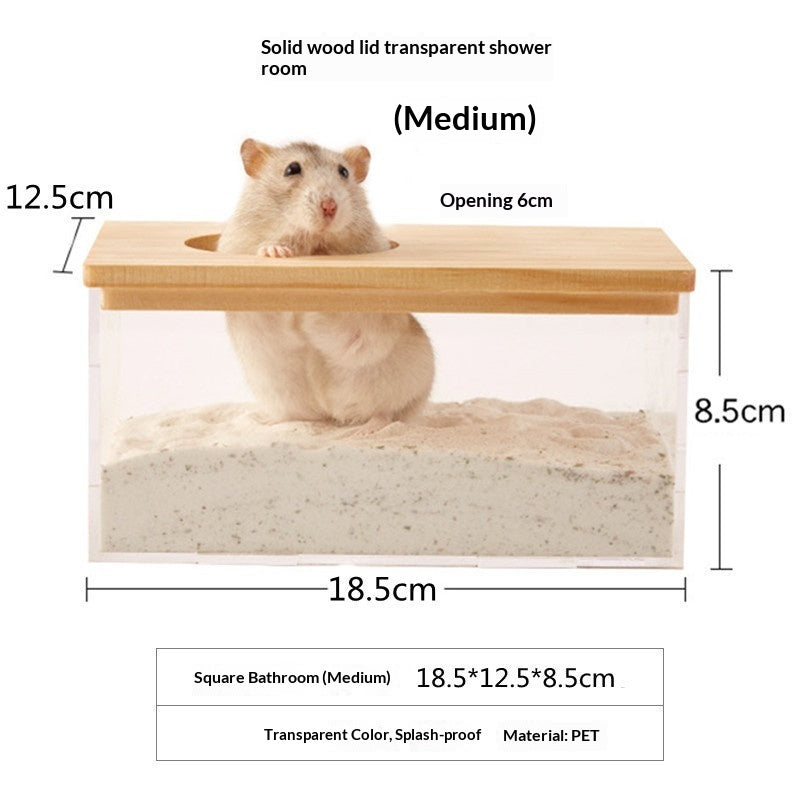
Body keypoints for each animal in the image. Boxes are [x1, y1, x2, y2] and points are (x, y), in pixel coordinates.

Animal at [218, 139, 435, 427]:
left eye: (343, 172)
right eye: (291, 169)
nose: (330, 207)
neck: (314, 246)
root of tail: (331, 414)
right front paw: (275, 252)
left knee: (384, 414)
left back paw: (366, 429)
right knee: (293, 417)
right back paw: (263, 421)